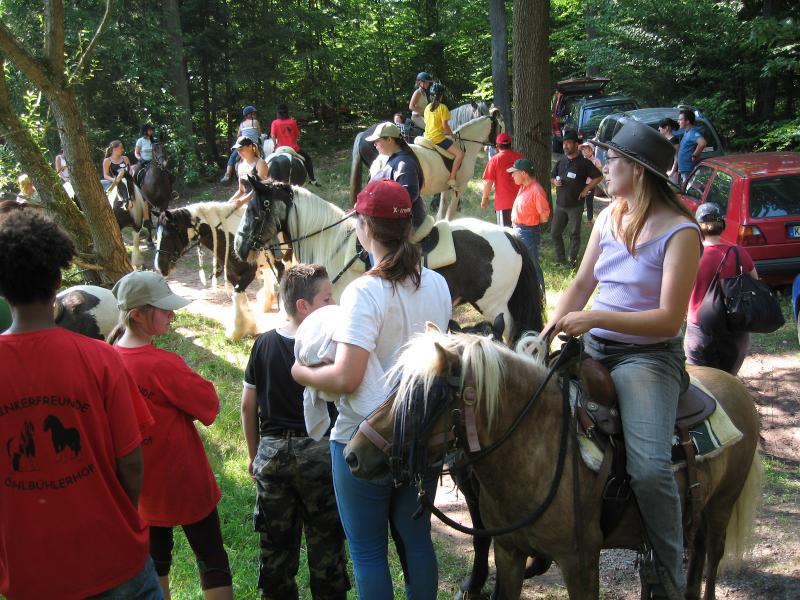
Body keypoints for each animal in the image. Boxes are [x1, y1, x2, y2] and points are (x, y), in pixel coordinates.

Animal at [155, 201, 276, 340]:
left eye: (169, 235)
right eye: (156, 234)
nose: (160, 267)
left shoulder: (249, 273)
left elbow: (237, 294)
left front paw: (238, 330)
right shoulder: (231, 274)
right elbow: (239, 296)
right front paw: (245, 328)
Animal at [344, 330, 762, 600]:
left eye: (425, 397)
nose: (353, 454)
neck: (537, 452)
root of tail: (732, 384)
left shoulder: (580, 562)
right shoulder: (508, 552)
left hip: (721, 508)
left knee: (710, 560)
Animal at [350, 107, 501, 220]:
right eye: (500, 127)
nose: (499, 146)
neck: (465, 145)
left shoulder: (446, 189)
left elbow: (442, 212)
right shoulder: (460, 187)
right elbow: (450, 215)